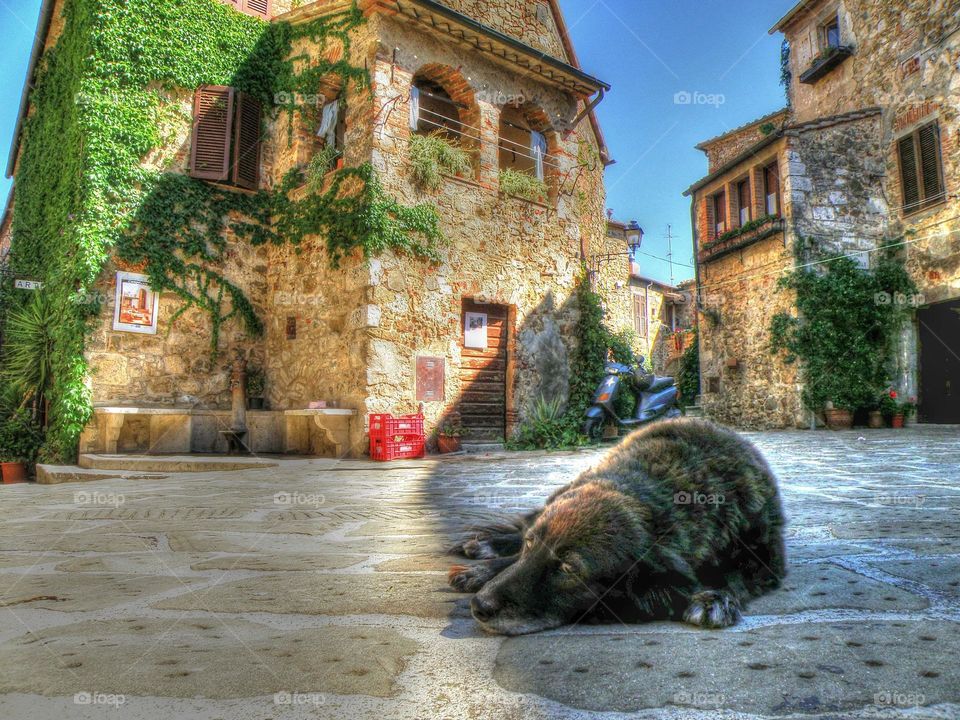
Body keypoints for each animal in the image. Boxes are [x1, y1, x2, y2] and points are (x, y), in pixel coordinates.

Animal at [446, 416, 784, 636]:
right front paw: (486, 569)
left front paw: (716, 598)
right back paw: (483, 556)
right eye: (532, 543)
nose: (479, 606)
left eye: (568, 569)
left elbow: (736, 576)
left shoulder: (766, 557)